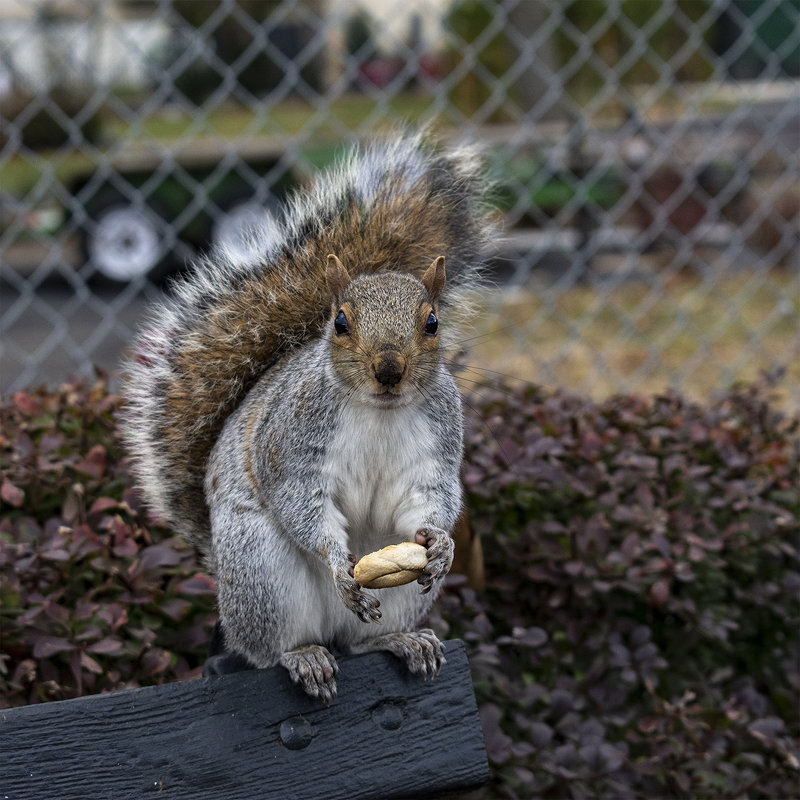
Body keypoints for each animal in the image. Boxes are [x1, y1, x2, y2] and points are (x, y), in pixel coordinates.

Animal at [122, 134, 490, 704]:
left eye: (432, 323)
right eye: (339, 322)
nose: (389, 370)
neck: (379, 410)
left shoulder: (438, 440)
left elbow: (429, 497)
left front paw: (442, 543)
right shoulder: (293, 440)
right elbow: (301, 501)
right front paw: (337, 563)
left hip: (399, 594)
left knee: (359, 642)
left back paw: (400, 641)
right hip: (261, 569)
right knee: (270, 648)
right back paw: (303, 657)